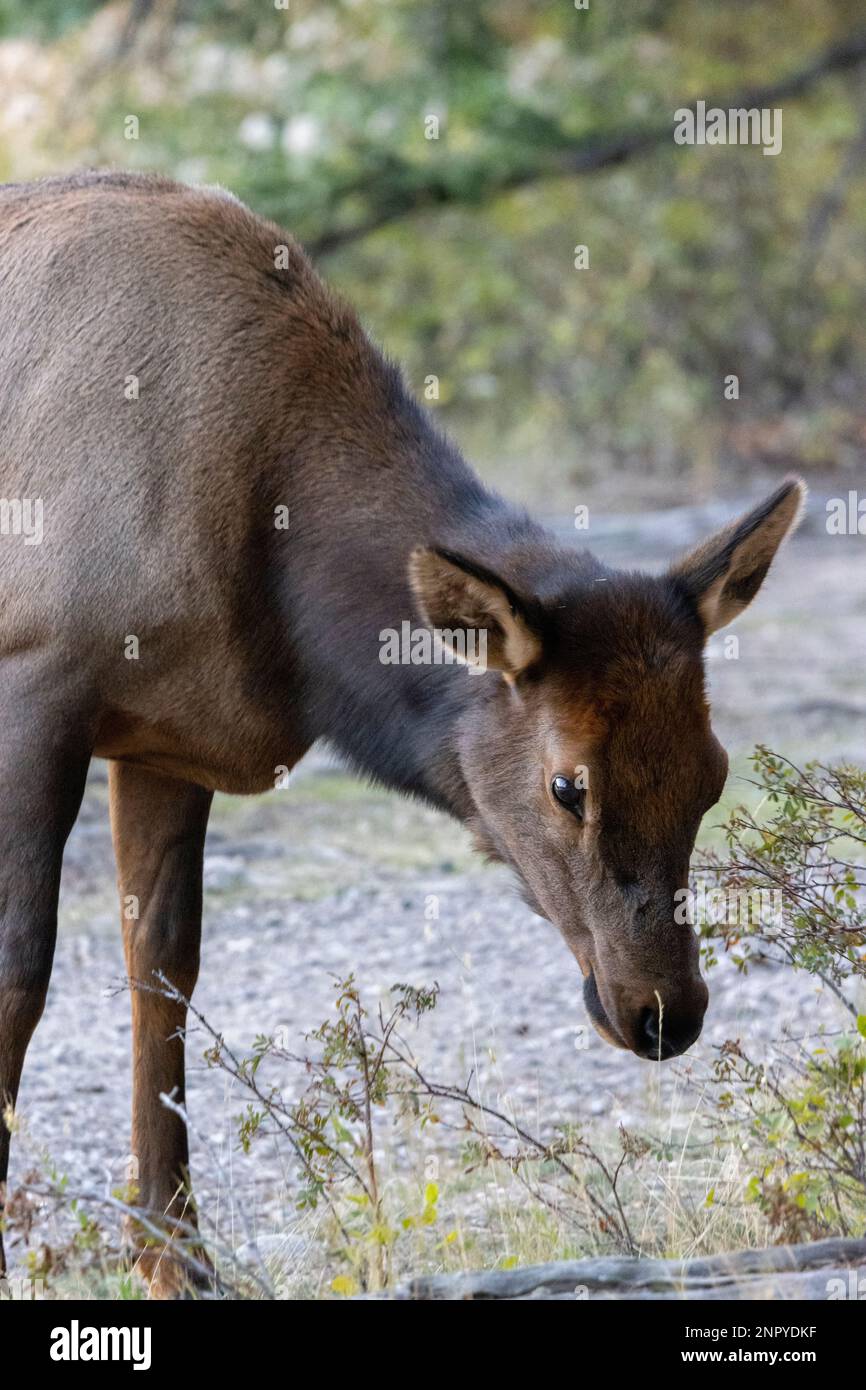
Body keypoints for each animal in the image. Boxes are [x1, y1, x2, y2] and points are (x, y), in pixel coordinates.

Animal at [0, 171, 804, 1296]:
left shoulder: (167, 737)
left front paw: (178, 1260)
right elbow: (22, 974)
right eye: (567, 784)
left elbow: (160, 970)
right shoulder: (37, 677)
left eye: (714, 776)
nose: (665, 1012)